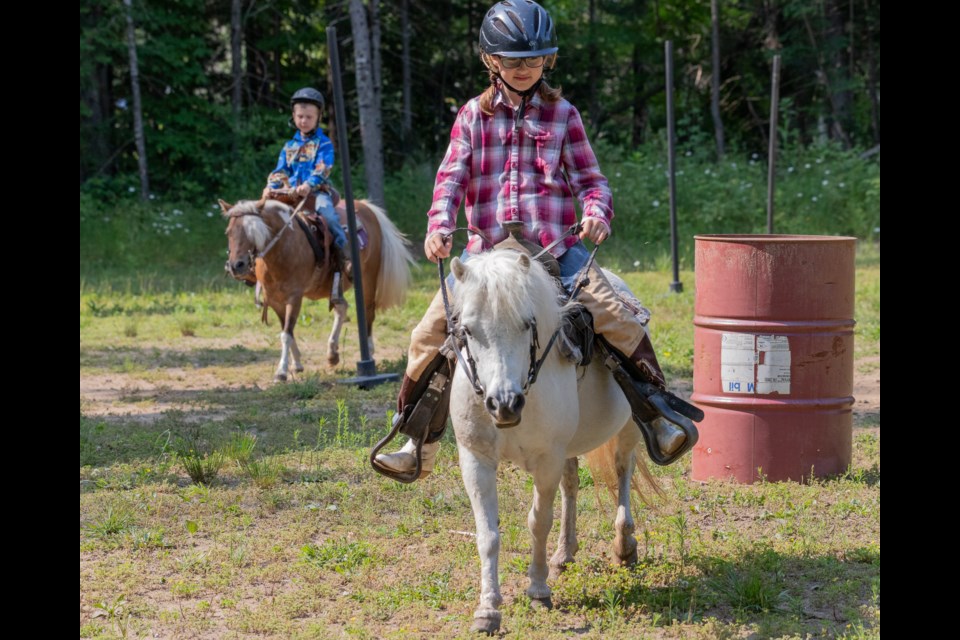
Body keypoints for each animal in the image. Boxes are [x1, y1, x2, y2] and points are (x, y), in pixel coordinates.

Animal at [223, 200, 414, 380]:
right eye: (229, 232)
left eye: (254, 232)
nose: (236, 265)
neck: (283, 247)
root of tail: (366, 207)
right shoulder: (274, 300)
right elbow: (287, 331)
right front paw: (296, 363)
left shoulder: (294, 297)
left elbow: (286, 334)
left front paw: (281, 371)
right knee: (342, 308)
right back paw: (332, 353)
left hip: (367, 278)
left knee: (368, 312)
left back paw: (368, 351)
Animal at [450, 250, 660, 636]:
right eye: (467, 329)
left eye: (526, 324)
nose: (504, 404)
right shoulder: (475, 459)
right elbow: (487, 533)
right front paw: (488, 609)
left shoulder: (547, 460)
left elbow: (538, 522)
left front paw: (537, 590)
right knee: (572, 485)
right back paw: (564, 554)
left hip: (626, 430)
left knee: (622, 473)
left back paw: (624, 547)